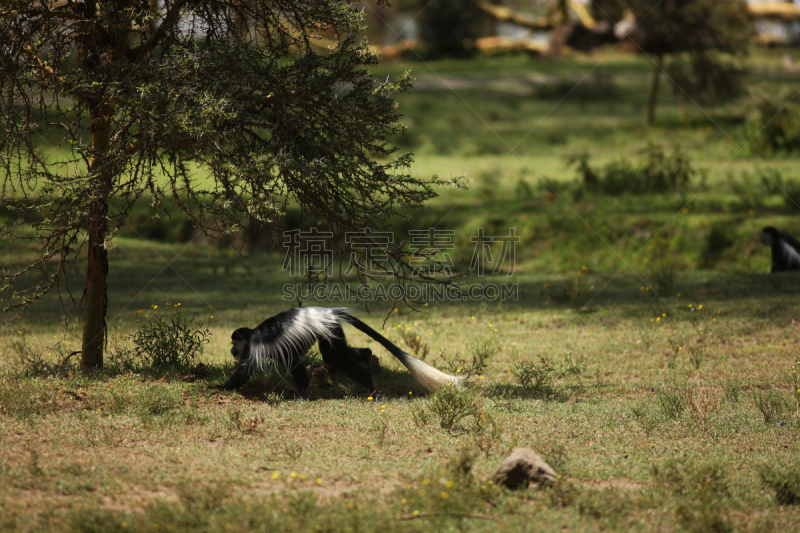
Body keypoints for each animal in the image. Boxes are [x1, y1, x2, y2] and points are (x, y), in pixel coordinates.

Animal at [222, 306, 466, 392]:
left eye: (234, 344)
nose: (232, 351)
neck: (252, 335)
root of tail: (328, 312)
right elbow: (294, 362)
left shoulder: (256, 347)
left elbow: (246, 371)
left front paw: (220, 387)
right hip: (329, 331)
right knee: (338, 355)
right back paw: (367, 356)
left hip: (329, 330)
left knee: (335, 358)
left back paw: (370, 383)